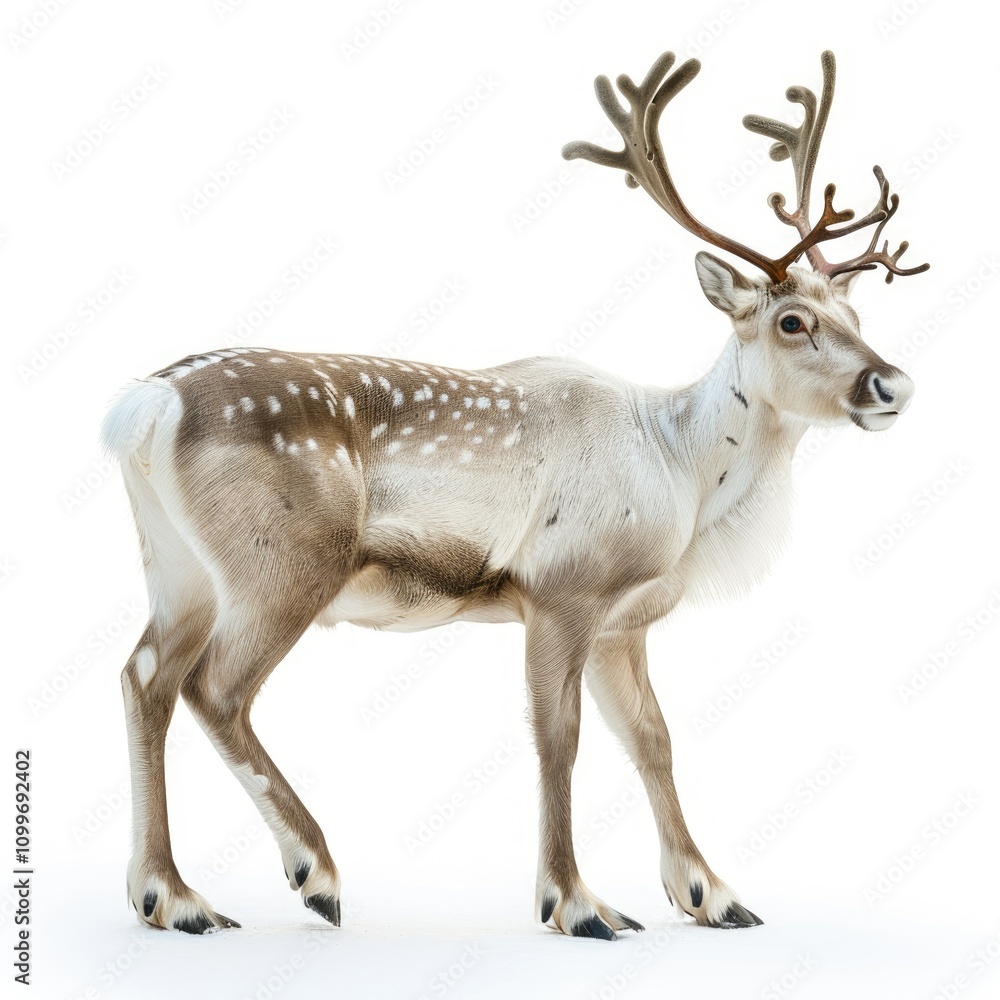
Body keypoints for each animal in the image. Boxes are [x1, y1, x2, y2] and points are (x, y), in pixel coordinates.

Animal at [102, 48, 926, 939]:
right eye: (791, 322)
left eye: (856, 314)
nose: (893, 383)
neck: (683, 473)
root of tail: (147, 407)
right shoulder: (561, 590)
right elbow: (559, 738)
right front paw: (577, 902)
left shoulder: (622, 620)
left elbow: (653, 738)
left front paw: (712, 895)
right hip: (283, 563)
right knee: (213, 687)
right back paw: (313, 872)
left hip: (178, 567)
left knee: (143, 677)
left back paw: (170, 896)